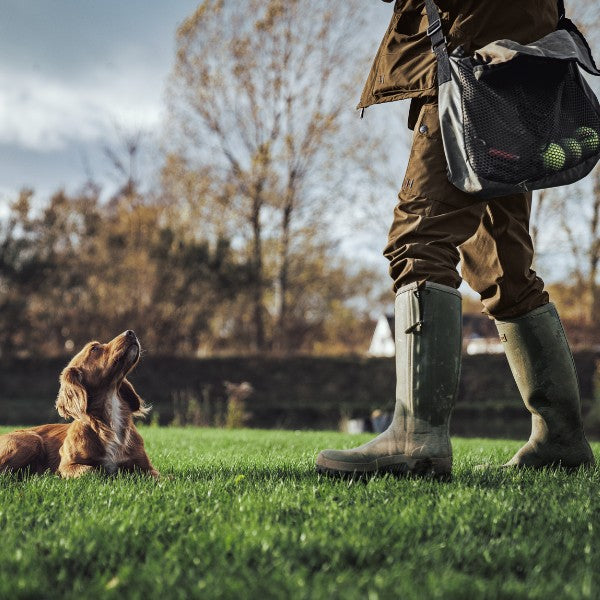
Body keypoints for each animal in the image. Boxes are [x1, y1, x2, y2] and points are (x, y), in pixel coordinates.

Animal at [0, 332, 158, 478]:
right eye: (95, 348)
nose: (131, 332)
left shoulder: (147, 468)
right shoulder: (66, 466)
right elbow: (93, 471)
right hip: (33, 440)